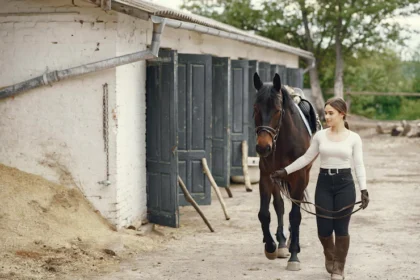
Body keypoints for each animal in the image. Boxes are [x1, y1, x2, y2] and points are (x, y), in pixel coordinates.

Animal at [253, 72, 316, 272]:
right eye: (255, 109)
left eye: (278, 111)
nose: (263, 147)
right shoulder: (266, 176)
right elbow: (265, 213)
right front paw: (270, 246)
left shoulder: (300, 177)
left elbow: (295, 215)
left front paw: (294, 255)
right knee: (279, 206)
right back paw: (281, 243)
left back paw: (290, 244)